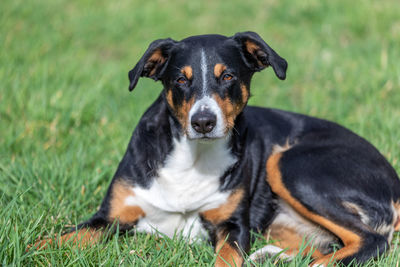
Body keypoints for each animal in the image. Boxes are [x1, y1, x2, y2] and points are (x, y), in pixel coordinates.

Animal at [33, 31, 400, 267]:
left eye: (228, 77)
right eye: (181, 79)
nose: (203, 122)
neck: (193, 159)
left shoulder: (232, 227)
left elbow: (226, 258)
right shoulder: (109, 218)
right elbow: (50, 240)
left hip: (290, 164)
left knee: (371, 240)